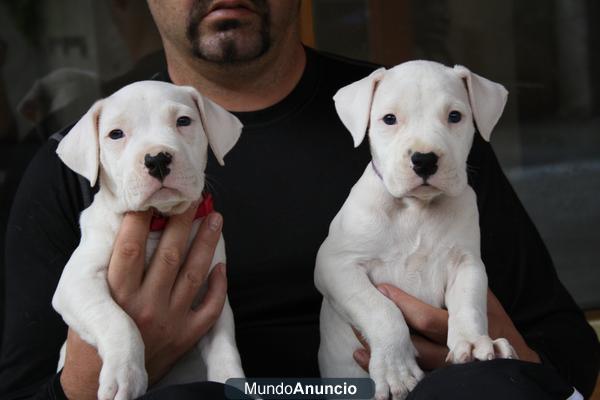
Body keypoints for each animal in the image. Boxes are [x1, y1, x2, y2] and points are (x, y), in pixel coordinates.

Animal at [51, 81, 244, 400]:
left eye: (184, 121)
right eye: (116, 134)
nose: (157, 159)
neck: (158, 221)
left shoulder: (211, 296)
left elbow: (224, 347)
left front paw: (233, 381)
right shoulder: (77, 282)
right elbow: (116, 319)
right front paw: (125, 374)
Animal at [316, 60, 516, 400]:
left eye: (454, 116)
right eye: (389, 119)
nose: (424, 160)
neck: (416, 210)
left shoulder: (467, 264)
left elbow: (469, 303)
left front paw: (474, 343)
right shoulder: (335, 266)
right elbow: (381, 310)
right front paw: (395, 369)